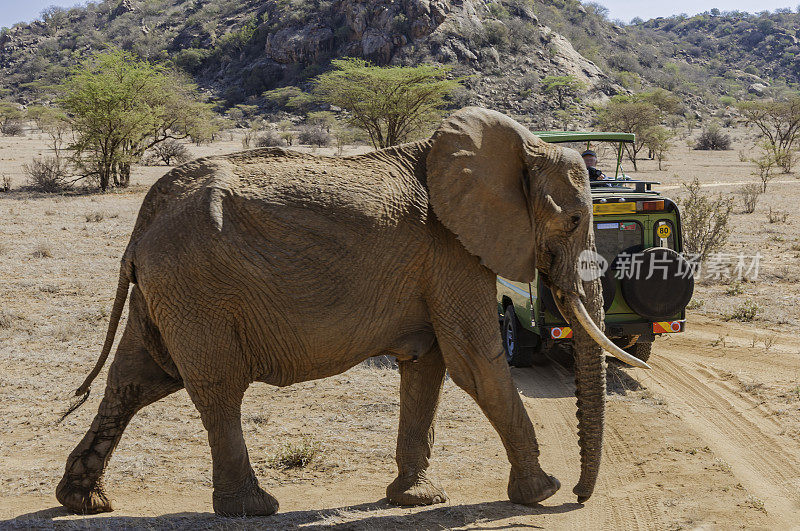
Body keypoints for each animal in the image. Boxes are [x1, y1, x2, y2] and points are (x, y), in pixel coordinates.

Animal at [56, 106, 648, 516]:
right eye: (575, 220)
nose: (580, 495)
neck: (523, 145)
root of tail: (145, 217)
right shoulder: (451, 250)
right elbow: (476, 363)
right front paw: (541, 492)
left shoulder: (436, 262)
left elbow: (428, 367)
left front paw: (416, 500)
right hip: (195, 287)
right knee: (216, 386)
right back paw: (254, 508)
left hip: (165, 289)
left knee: (137, 378)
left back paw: (83, 502)